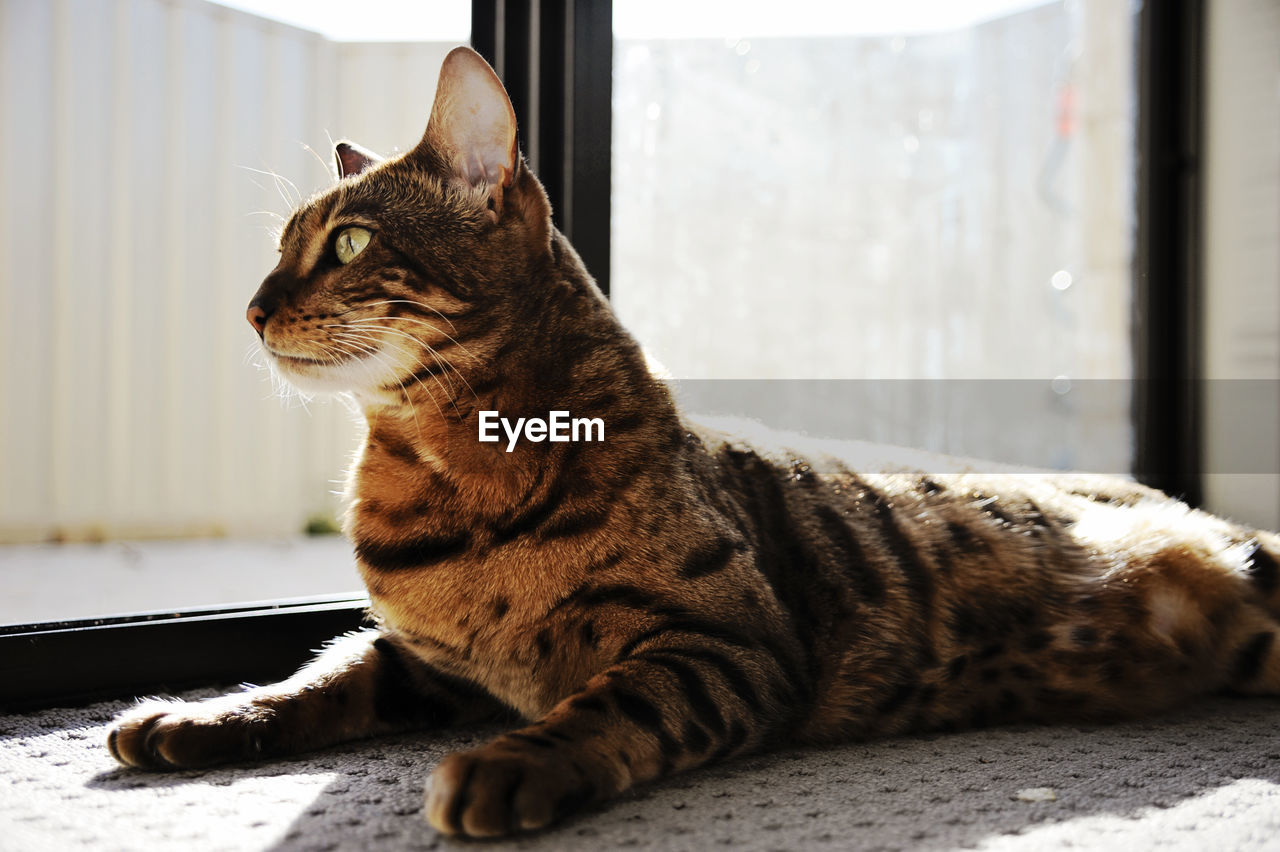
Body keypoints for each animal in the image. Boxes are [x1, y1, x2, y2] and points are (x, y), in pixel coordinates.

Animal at [107, 46, 1280, 834]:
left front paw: (510, 764)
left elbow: (612, 704)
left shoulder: (727, 642)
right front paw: (200, 715)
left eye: (347, 243)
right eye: (279, 246)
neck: (434, 476)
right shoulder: (427, 663)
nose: (251, 308)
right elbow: (316, 677)